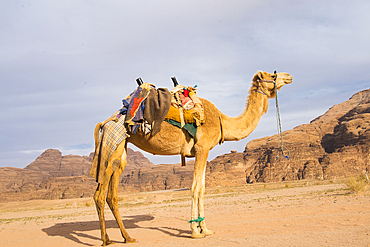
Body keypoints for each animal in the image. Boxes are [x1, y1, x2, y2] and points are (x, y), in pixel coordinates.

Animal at [92, 70, 292, 244]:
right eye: (272, 75)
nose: (289, 76)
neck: (222, 121)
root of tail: (105, 122)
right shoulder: (202, 148)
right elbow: (196, 188)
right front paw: (196, 231)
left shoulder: (202, 151)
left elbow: (202, 188)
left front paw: (206, 229)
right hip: (114, 143)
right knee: (102, 192)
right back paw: (107, 240)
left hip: (121, 149)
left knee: (111, 194)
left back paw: (125, 237)